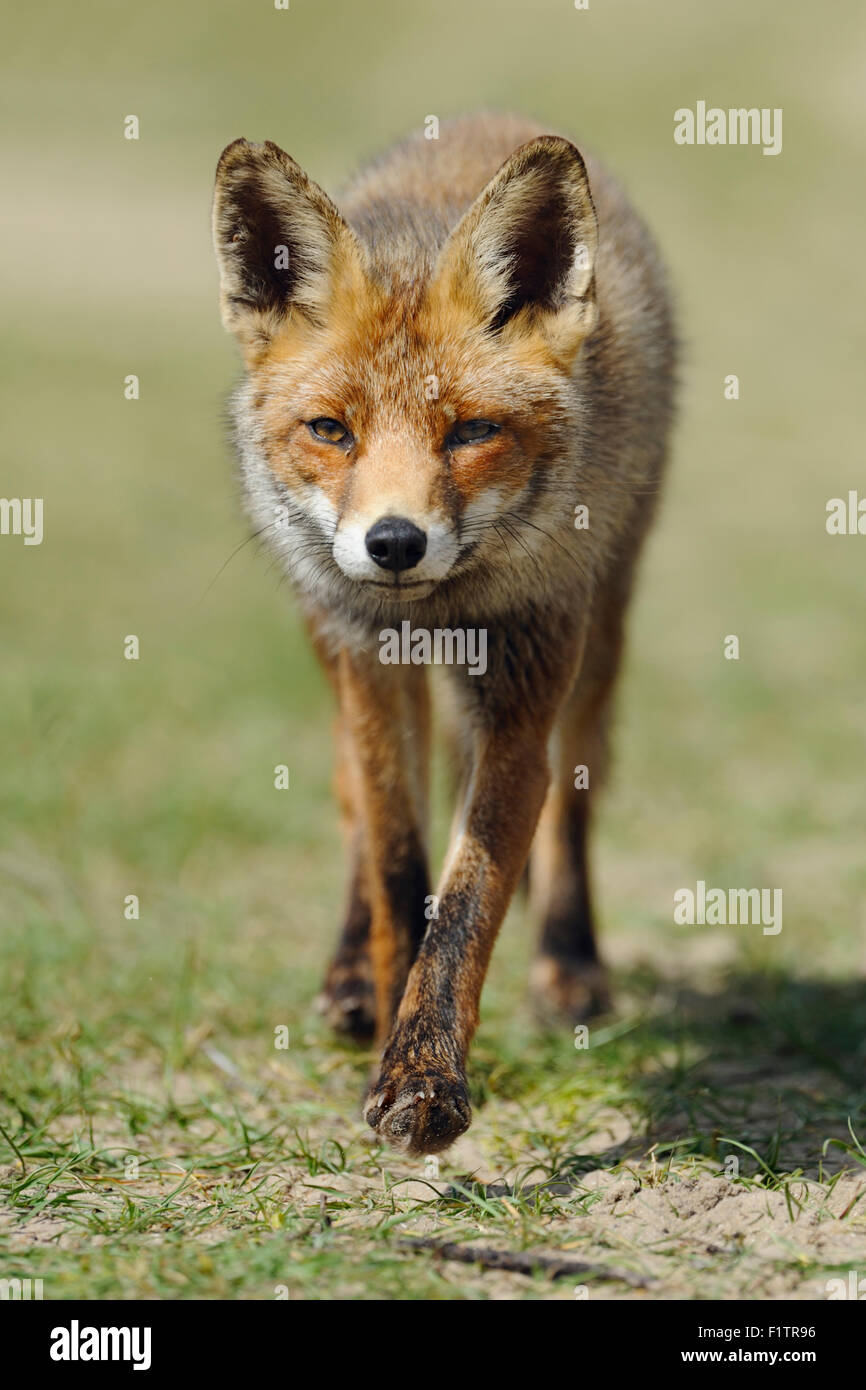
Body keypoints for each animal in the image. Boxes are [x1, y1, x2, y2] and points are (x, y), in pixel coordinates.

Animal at [214, 111, 675, 1150]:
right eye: (331, 430)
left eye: (469, 432)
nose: (393, 542)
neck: (439, 614)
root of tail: (488, 118)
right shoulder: (368, 664)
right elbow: (395, 861)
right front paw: (391, 1020)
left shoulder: (522, 692)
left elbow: (467, 899)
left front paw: (425, 1080)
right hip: (331, 643)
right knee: (351, 795)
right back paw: (351, 977)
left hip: (605, 637)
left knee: (576, 802)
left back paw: (570, 966)